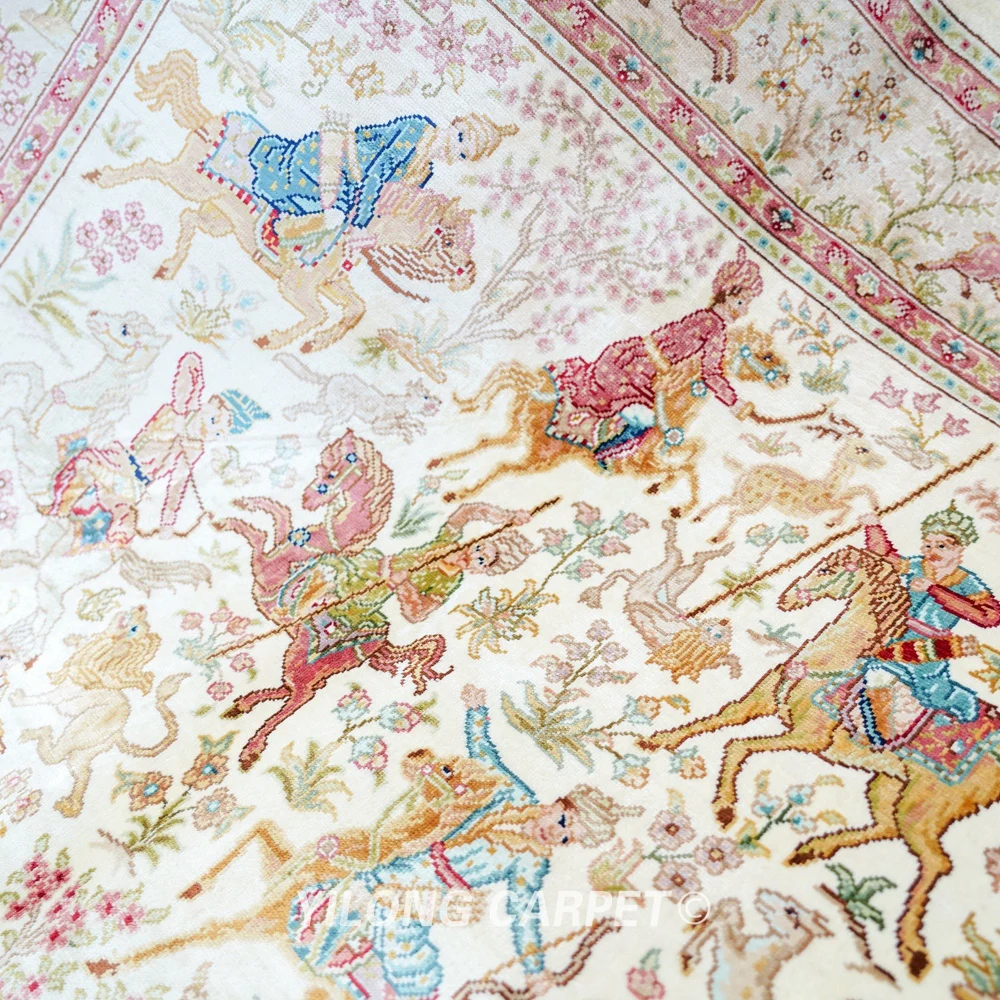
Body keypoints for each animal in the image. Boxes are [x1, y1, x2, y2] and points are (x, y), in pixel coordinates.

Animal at [82, 51, 476, 354]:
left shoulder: (329, 284)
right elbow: (318, 314)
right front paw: (274, 340)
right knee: (152, 169)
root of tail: (214, 120)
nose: (468, 275)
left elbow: (356, 309)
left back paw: (168, 268)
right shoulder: (296, 286)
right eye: (448, 240)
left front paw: (316, 344)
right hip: (187, 180)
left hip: (221, 218)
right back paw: (100, 178)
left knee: (190, 218)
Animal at [428, 326, 790, 514]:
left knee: (489, 441)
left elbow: (693, 453)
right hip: (539, 457)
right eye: (766, 354)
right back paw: (456, 494)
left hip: (526, 437)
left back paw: (440, 465)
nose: (785, 378)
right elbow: (687, 463)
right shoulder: (641, 464)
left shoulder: (656, 457)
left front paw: (663, 489)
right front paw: (680, 505)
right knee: (503, 465)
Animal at [637, 543, 1000, 980]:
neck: (828, 660)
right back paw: (811, 850)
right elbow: (713, 721)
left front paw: (724, 808)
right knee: (885, 826)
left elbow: (738, 746)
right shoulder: (757, 702)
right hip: (889, 784)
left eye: (827, 569)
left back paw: (911, 948)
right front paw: (660, 739)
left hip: (926, 807)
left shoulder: (805, 737)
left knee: (934, 861)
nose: (788, 598)